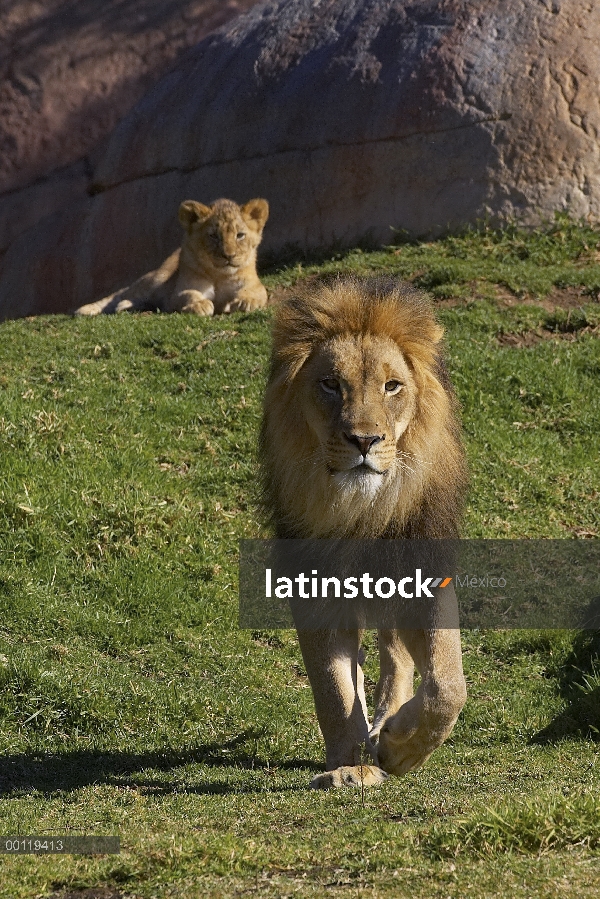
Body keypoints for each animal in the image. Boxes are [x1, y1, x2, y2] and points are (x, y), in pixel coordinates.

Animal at [75, 197, 270, 316]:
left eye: (240, 235)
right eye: (214, 236)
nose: (229, 255)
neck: (219, 275)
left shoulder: (253, 284)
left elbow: (255, 291)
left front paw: (247, 302)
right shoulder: (179, 291)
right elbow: (189, 294)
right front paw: (199, 305)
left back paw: (126, 306)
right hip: (155, 279)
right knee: (123, 294)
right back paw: (95, 308)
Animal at [262, 276, 468, 788]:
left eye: (392, 386)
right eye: (330, 385)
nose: (364, 440)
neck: (362, 510)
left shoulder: (423, 569)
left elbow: (448, 686)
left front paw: (399, 750)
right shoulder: (314, 581)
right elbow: (332, 684)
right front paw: (350, 765)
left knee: (396, 654)